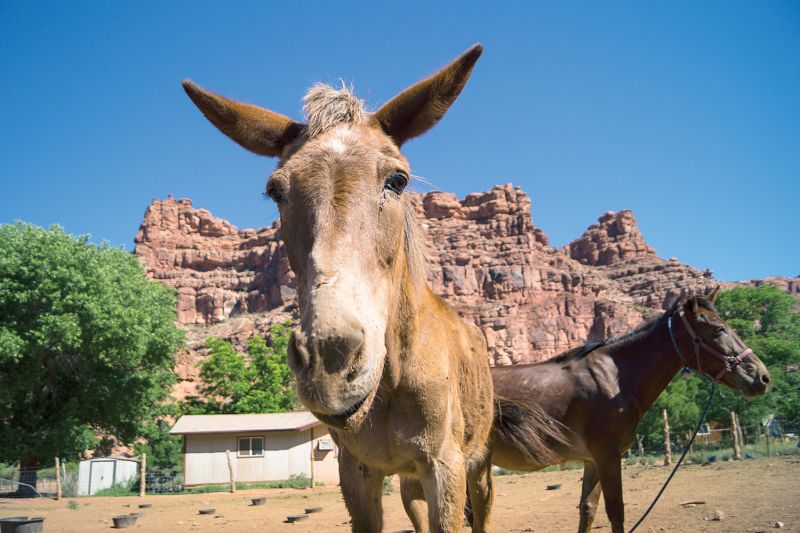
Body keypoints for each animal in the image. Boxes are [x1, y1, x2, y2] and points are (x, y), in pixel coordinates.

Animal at [182, 46, 496, 532]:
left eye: (397, 180)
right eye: (275, 191)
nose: (329, 359)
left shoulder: (445, 467)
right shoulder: (357, 472)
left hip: (477, 470)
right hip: (409, 483)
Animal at [490, 288, 772, 528]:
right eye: (718, 329)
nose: (762, 377)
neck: (614, 377)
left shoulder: (592, 460)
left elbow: (588, 509)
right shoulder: (607, 454)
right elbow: (616, 511)